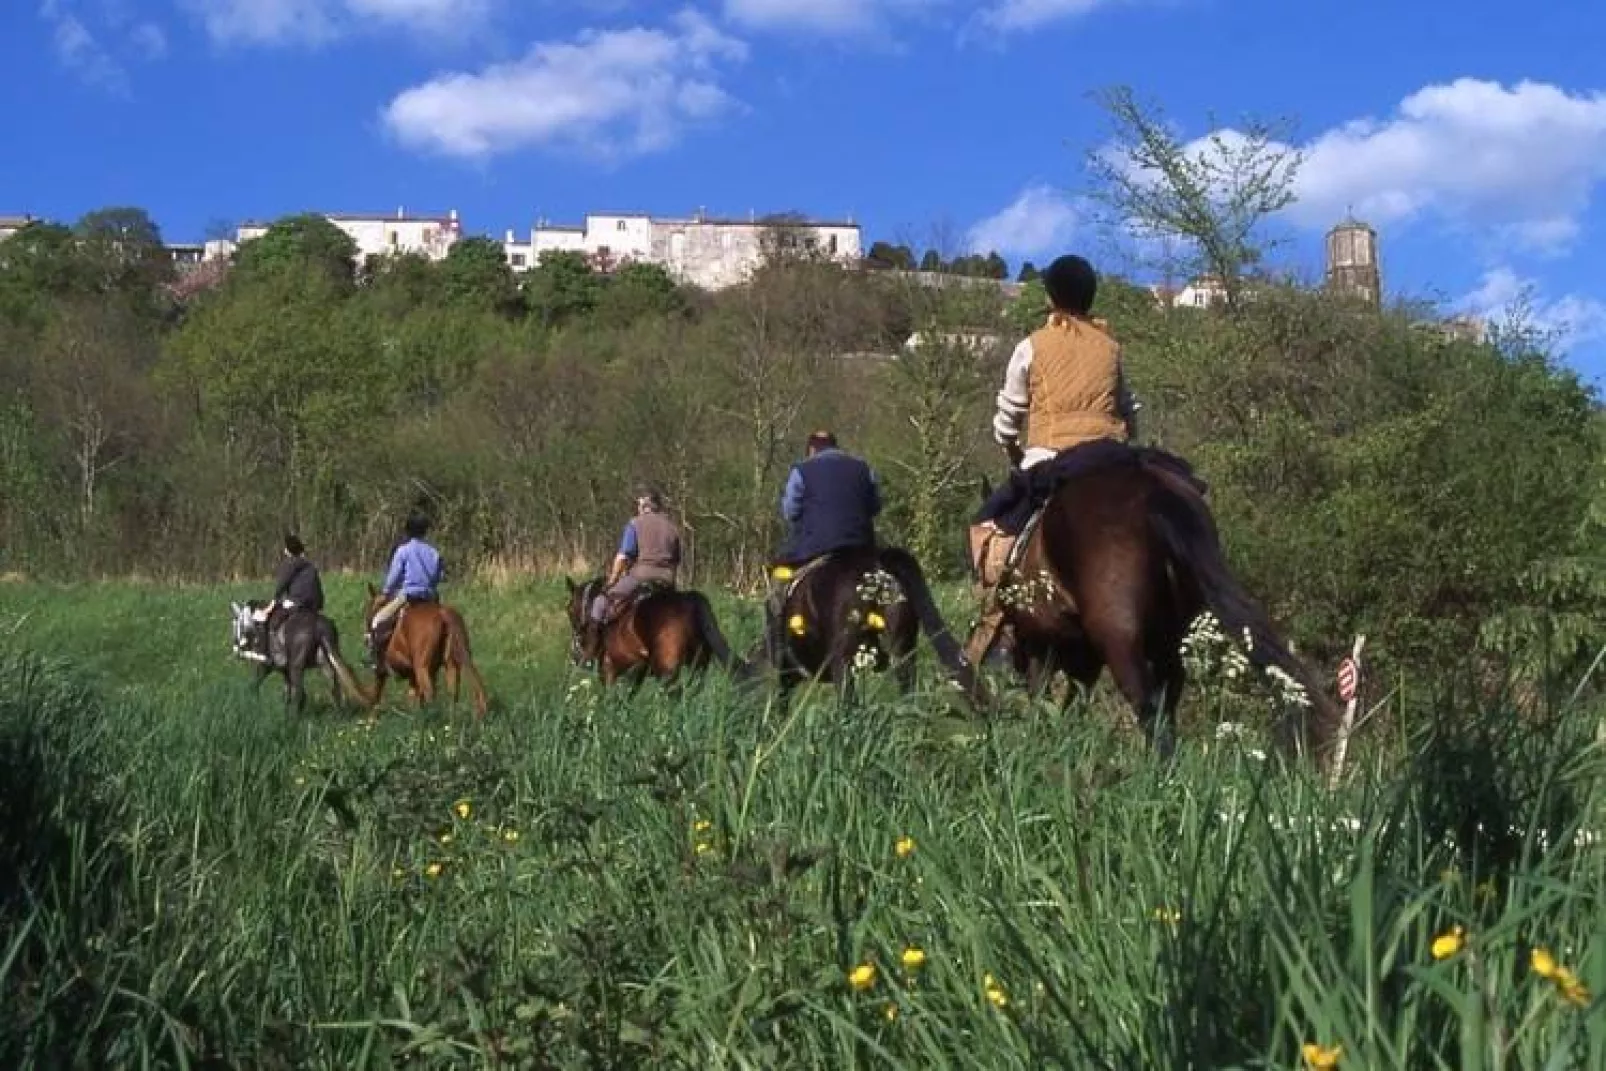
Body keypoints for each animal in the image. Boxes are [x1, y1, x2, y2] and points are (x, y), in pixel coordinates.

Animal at [361, 587, 485, 719]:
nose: (366, 637)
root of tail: (442, 613)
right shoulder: (414, 675)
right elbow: (414, 696)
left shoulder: (382, 671)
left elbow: (377, 694)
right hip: (450, 665)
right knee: (452, 693)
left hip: (422, 668)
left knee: (430, 693)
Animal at [565, 578, 745, 687]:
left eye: (569, 609)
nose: (576, 652)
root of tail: (690, 599)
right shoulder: (635, 674)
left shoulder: (609, 670)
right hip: (698, 667)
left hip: (667, 672)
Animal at [963, 443, 1342, 770]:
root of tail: (1155, 495)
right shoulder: (1084, 659)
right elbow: (1074, 703)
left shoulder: (1044, 647)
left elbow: (1044, 701)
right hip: (1169, 644)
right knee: (1166, 706)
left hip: (1119, 640)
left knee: (1147, 708)